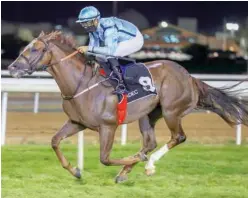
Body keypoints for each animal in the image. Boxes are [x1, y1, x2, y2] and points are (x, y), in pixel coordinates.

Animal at [7, 30, 248, 183]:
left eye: (34, 49)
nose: (12, 68)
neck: (81, 84)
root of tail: (190, 77)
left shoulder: (108, 126)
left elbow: (104, 159)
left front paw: (136, 161)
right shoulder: (77, 122)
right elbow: (55, 141)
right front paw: (75, 171)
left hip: (172, 111)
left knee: (177, 137)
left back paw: (148, 165)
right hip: (148, 115)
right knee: (150, 142)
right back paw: (127, 170)